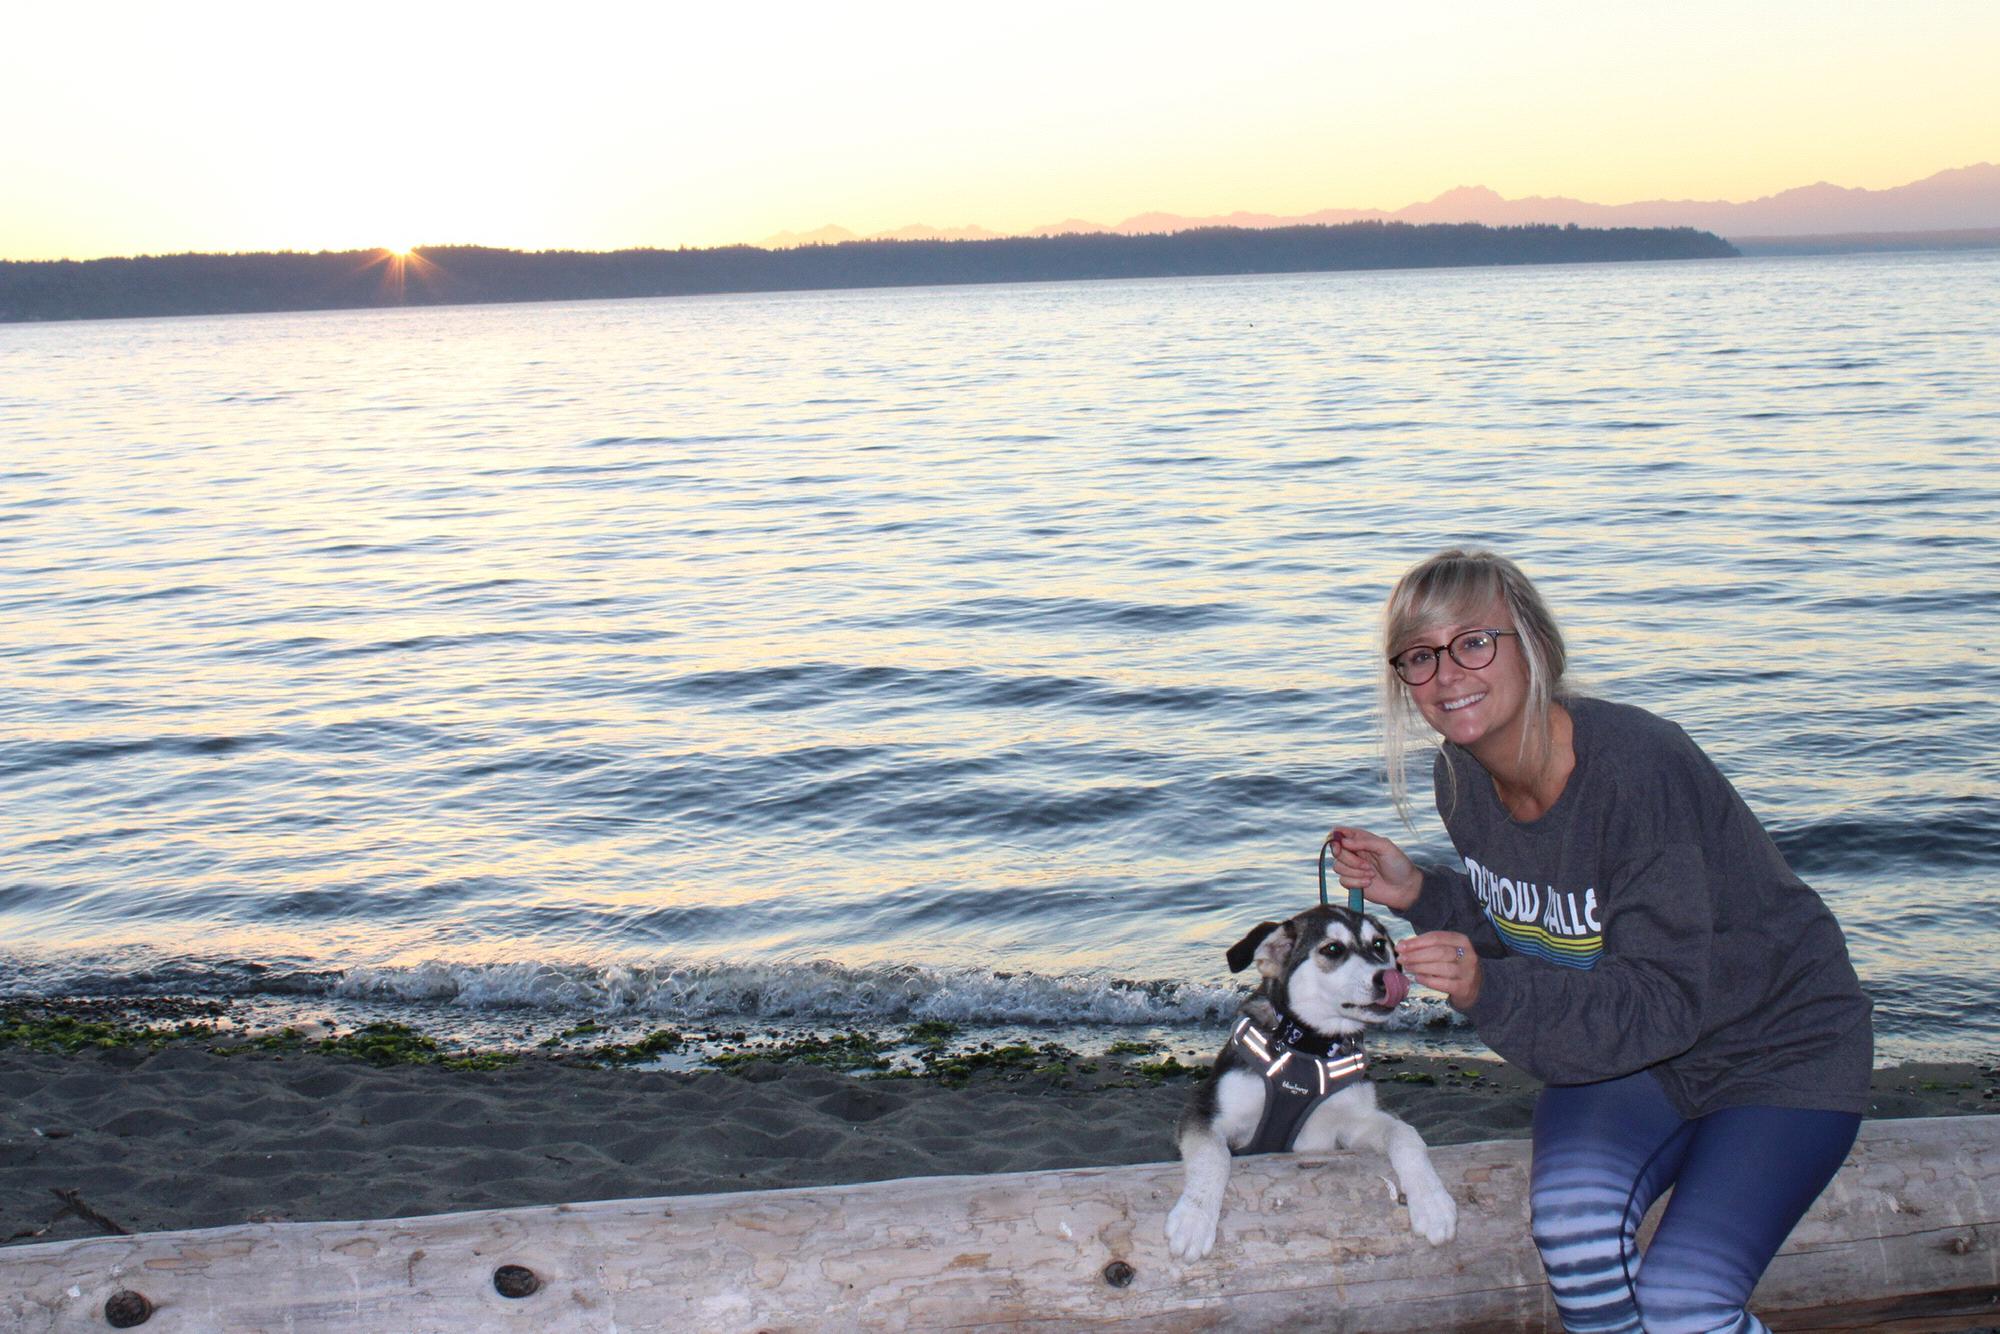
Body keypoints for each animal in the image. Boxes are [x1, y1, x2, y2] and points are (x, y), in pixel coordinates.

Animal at [1168, 908, 1464, 1264]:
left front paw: (1432, 1202)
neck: (1309, 1048)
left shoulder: (1354, 1125)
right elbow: (1213, 1155)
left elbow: (1406, 1134)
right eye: (1333, 949)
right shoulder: (1204, 1110)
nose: (1388, 978)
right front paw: (1194, 1219)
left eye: (1379, 945)